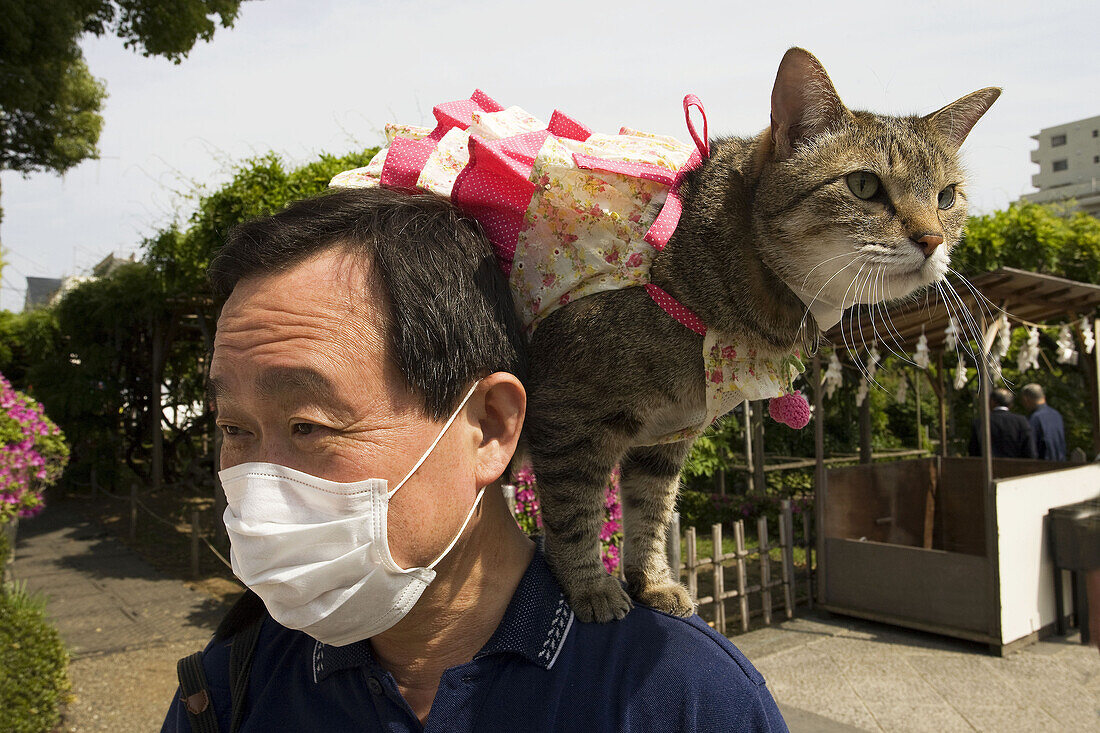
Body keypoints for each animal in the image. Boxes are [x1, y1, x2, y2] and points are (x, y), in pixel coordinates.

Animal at [528, 47, 1003, 616]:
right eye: (864, 185)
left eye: (947, 197)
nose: (932, 239)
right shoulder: (568, 414)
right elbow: (575, 511)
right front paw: (591, 587)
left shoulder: (667, 437)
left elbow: (650, 512)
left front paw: (652, 580)